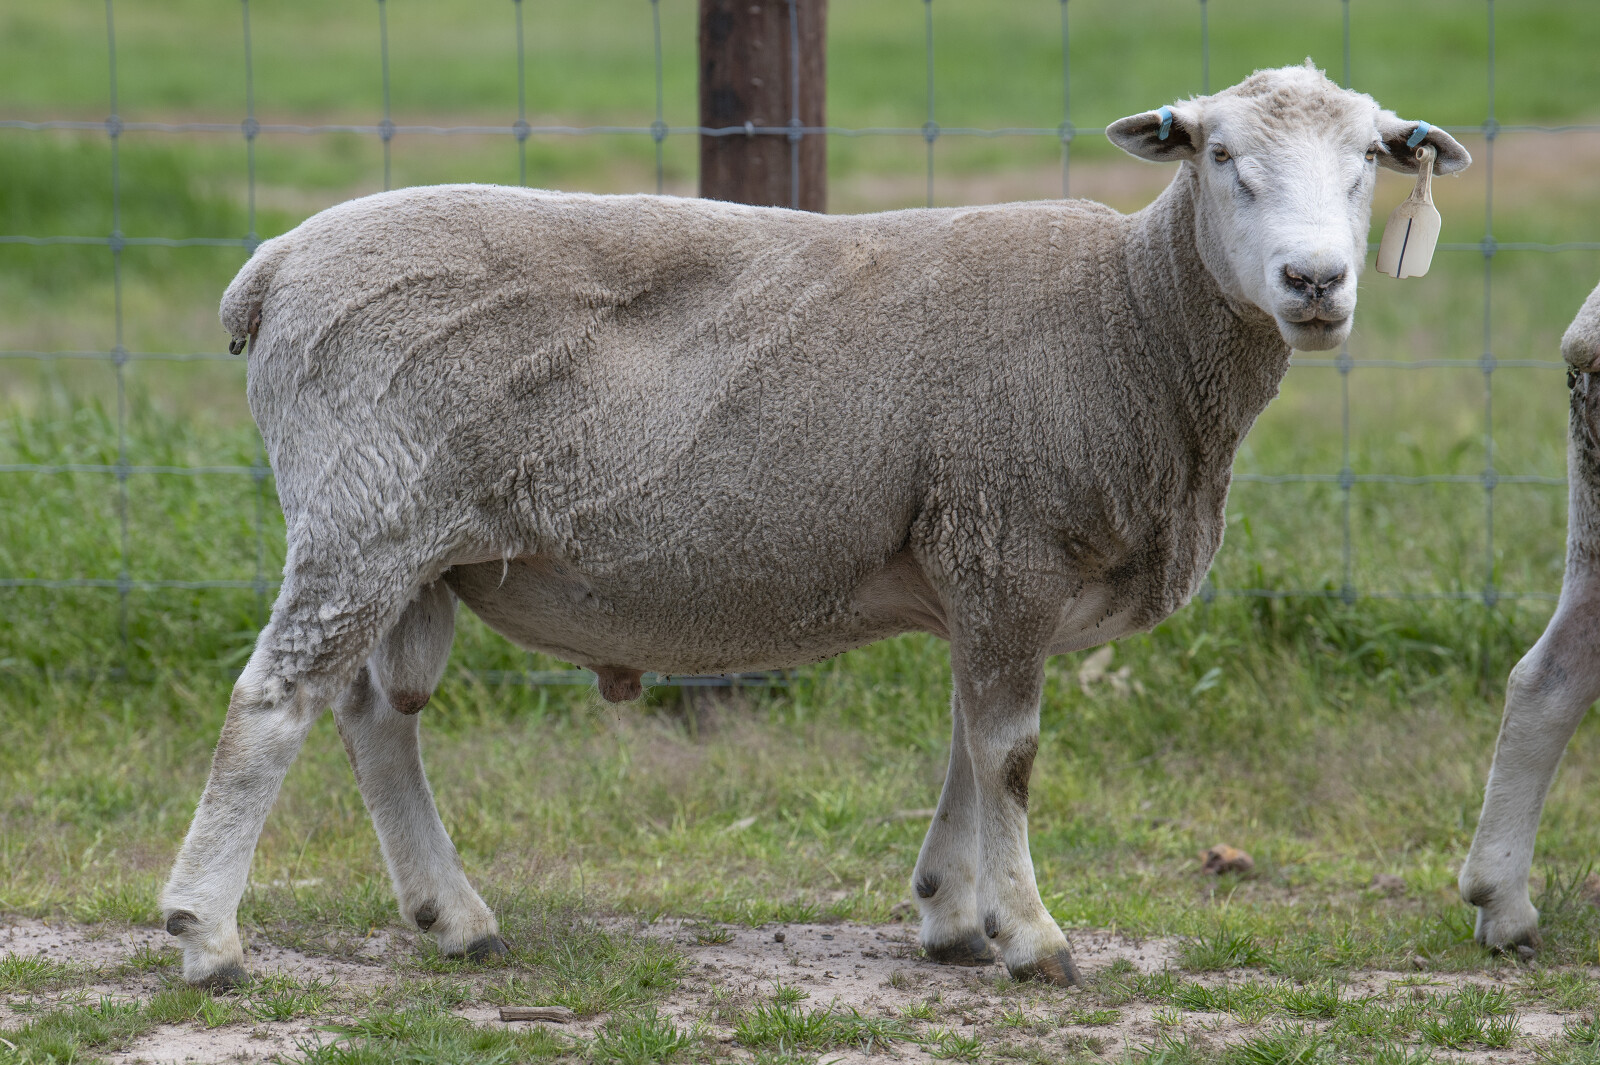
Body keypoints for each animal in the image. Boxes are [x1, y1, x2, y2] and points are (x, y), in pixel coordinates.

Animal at [160, 63, 1469, 988]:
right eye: (1219, 154)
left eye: (1369, 160)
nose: (1315, 283)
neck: (1130, 318)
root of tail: (273, 268)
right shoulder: (1009, 542)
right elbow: (1011, 754)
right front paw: (1032, 936)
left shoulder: (977, 571)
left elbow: (965, 743)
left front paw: (951, 915)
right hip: (365, 513)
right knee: (271, 708)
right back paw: (207, 937)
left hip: (415, 540)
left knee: (378, 718)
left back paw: (454, 921)